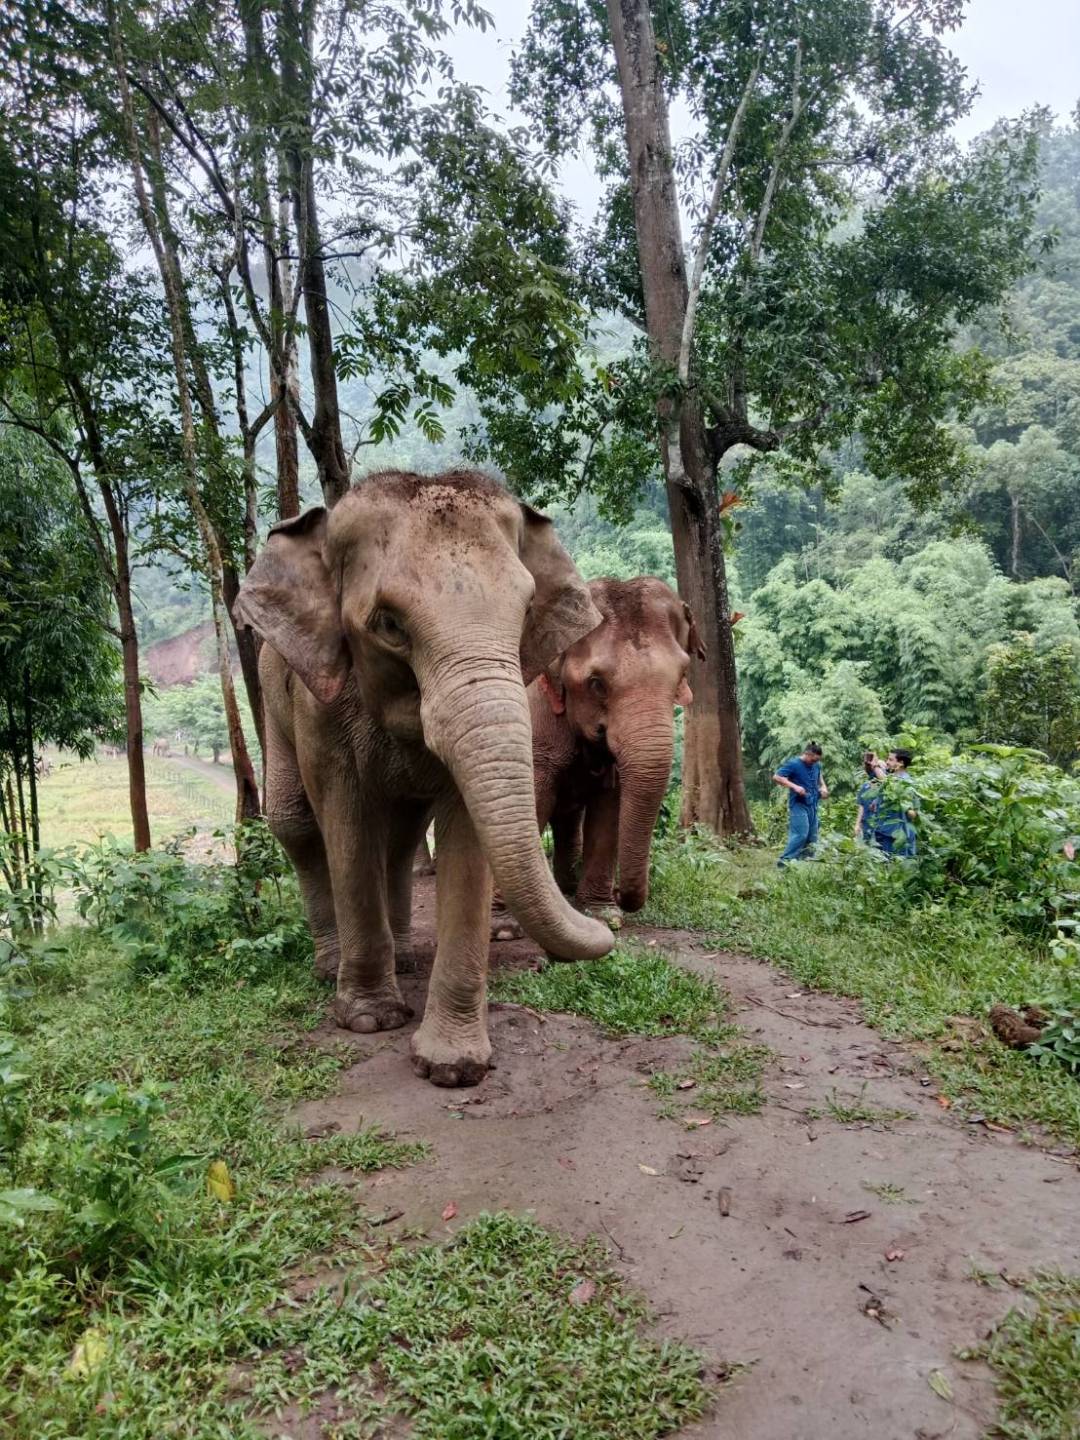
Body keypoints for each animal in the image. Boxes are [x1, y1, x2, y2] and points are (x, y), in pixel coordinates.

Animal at [234, 469, 614, 1088]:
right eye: (389, 625)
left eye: (526, 611)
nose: (607, 928)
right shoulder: (319, 708)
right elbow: (344, 821)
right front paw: (369, 1019)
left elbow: (466, 832)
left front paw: (453, 1067)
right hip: (273, 700)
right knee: (298, 826)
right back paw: (331, 967)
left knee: (403, 836)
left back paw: (407, 957)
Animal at [527, 576, 704, 923]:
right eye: (596, 683)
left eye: (681, 675)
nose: (621, 892)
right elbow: (537, 796)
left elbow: (610, 805)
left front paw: (602, 915)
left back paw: (567, 886)